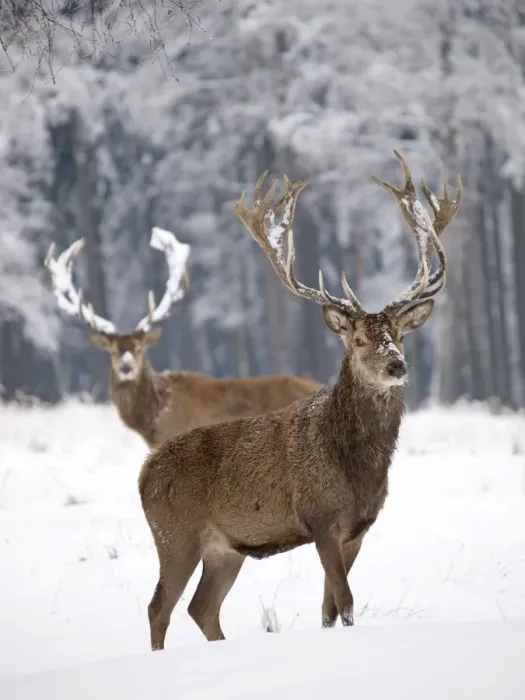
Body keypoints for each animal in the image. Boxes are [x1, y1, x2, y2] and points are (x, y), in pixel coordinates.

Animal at [138, 151, 462, 650]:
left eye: (400, 335)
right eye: (358, 340)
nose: (397, 366)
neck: (355, 468)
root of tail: (142, 473)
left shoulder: (358, 529)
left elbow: (330, 607)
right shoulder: (321, 519)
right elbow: (345, 601)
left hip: (225, 549)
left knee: (201, 607)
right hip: (175, 534)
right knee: (159, 607)